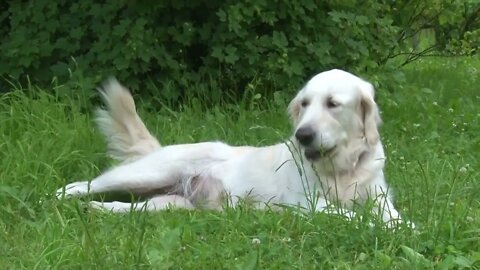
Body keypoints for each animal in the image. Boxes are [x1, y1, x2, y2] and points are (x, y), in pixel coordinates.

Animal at [57, 69, 408, 226]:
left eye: (332, 104)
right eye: (305, 104)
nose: (302, 135)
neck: (343, 168)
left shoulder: (379, 198)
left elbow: (392, 216)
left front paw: (404, 227)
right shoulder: (311, 205)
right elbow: (352, 215)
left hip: (171, 204)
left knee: (131, 207)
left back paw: (97, 209)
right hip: (147, 173)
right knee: (84, 184)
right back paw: (63, 197)